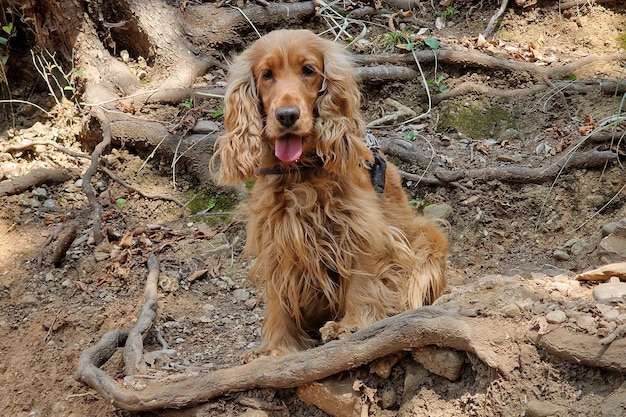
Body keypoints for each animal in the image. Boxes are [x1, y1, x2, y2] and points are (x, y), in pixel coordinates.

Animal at [208, 29, 444, 360]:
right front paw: (276, 346)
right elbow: (279, 298)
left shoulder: (360, 226)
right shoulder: (277, 237)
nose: (287, 115)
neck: (300, 172)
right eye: (266, 75)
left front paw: (352, 325)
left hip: (428, 236)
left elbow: (362, 275)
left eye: (308, 70)